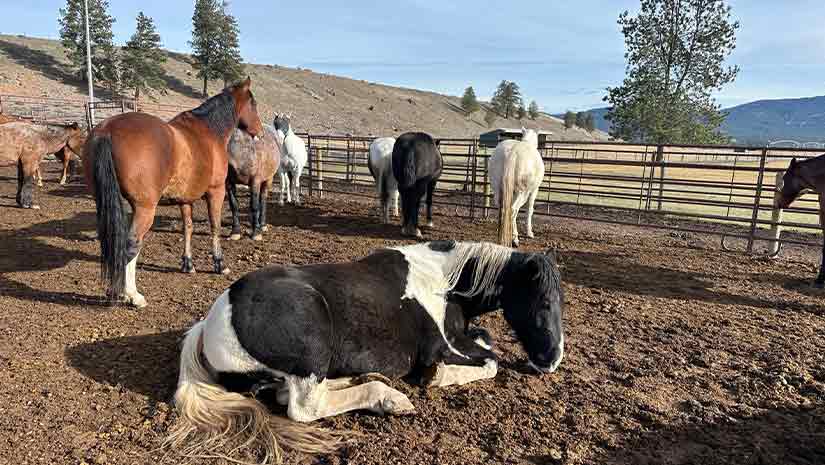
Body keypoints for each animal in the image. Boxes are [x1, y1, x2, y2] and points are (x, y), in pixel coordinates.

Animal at [83, 77, 263, 308]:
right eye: (253, 103)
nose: (260, 130)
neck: (209, 130)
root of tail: (107, 130)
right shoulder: (216, 192)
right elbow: (215, 227)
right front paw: (219, 264)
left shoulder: (185, 200)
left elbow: (188, 228)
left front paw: (188, 264)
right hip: (144, 209)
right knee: (131, 244)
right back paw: (131, 295)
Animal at [166, 240, 564, 463]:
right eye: (544, 301)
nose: (552, 359)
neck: (446, 283)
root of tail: (211, 322)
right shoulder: (443, 346)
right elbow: (490, 361)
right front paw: (436, 377)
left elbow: (487, 341)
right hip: (312, 348)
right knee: (305, 407)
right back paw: (388, 397)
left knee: (295, 392)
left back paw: (366, 381)